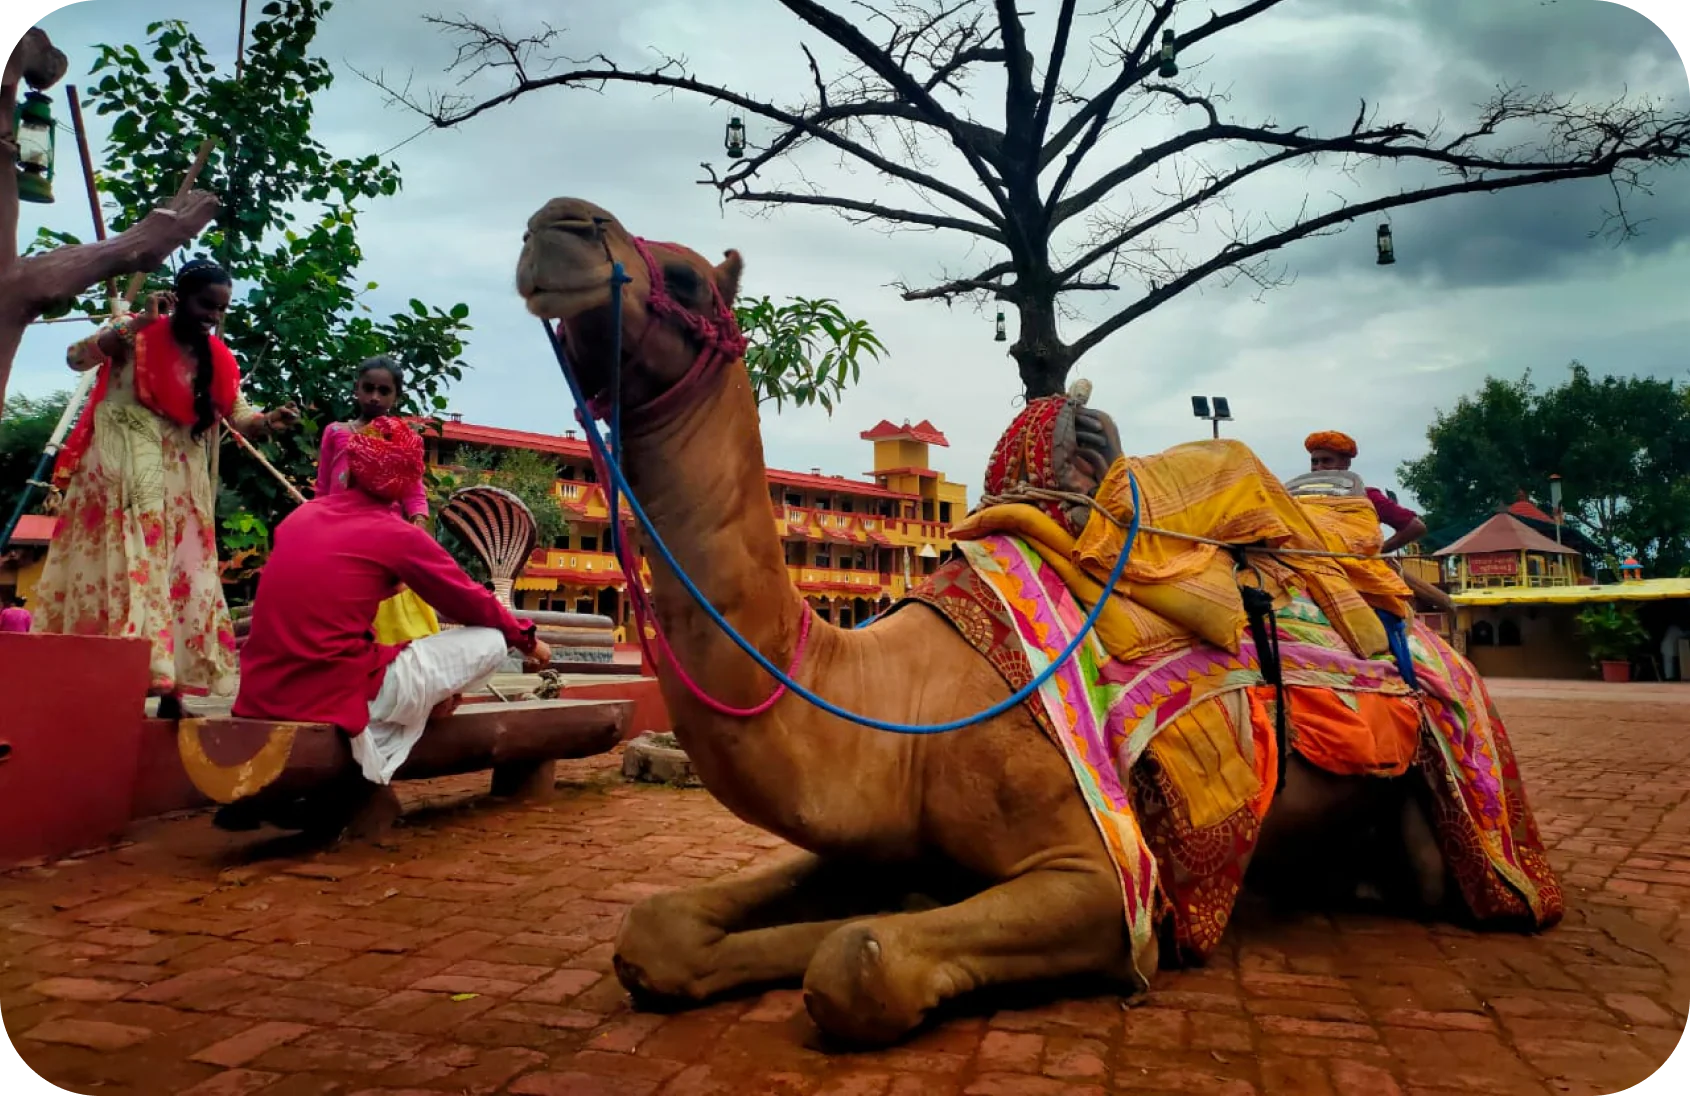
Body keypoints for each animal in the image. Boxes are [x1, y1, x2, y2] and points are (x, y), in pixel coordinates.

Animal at [515, 198, 1553, 1047]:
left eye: (687, 275)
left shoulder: (1104, 877)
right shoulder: (871, 832)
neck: (900, 700)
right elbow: (658, 932)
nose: (554, 225)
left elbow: (858, 961)